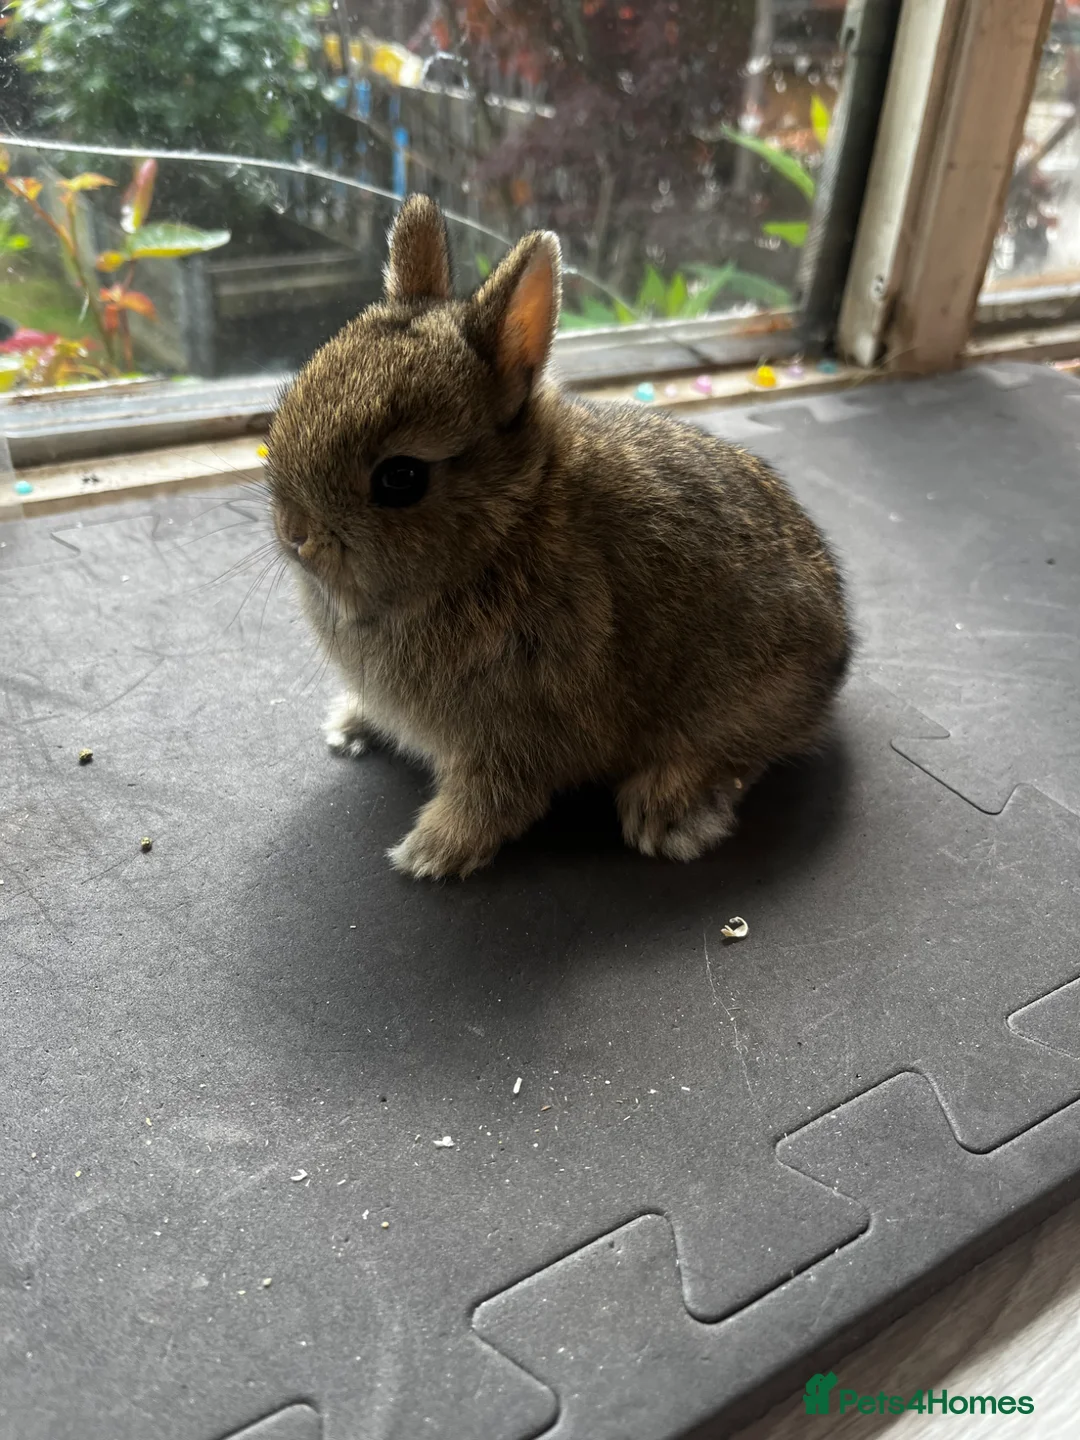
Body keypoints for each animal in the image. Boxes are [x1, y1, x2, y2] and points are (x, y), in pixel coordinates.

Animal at [265, 194, 852, 880]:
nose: (295, 535)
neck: (505, 527)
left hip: (736, 703)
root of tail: (838, 646)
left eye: (400, 478)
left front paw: (428, 853)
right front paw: (350, 725)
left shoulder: (511, 734)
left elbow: (495, 799)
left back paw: (665, 814)